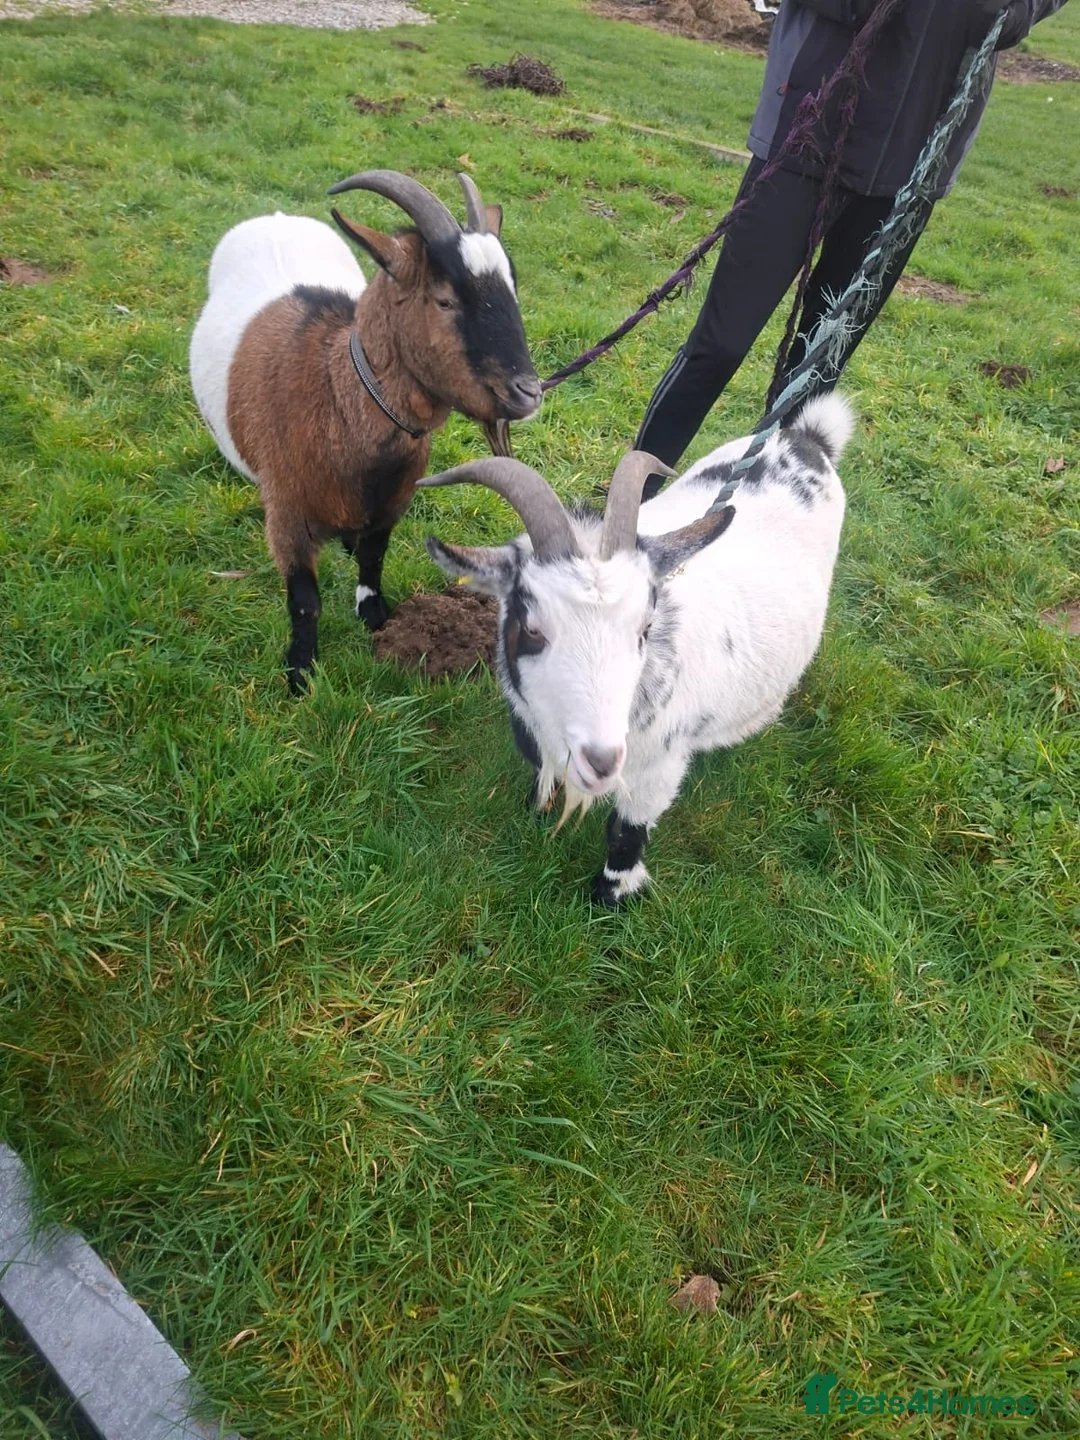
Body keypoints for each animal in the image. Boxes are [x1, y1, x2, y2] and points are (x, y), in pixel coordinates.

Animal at [189, 170, 541, 692]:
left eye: (513, 292)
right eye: (444, 300)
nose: (528, 392)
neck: (335, 394)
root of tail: (275, 217)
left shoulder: (392, 500)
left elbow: (374, 558)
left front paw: (376, 617)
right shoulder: (288, 515)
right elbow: (303, 599)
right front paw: (300, 674)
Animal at [421, 393, 853, 905]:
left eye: (645, 627)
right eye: (531, 629)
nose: (602, 760)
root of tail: (806, 438)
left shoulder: (659, 766)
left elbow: (625, 830)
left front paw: (611, 894)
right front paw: (536, 811)